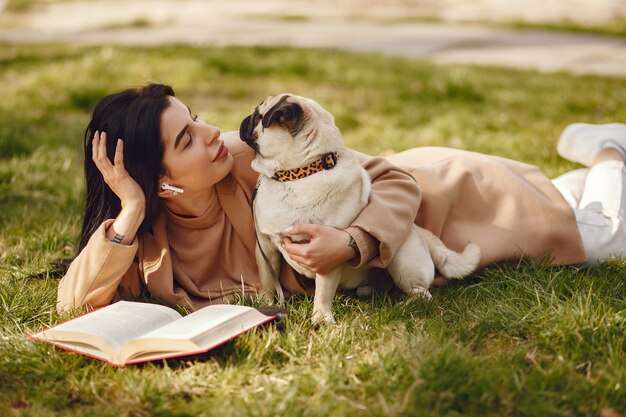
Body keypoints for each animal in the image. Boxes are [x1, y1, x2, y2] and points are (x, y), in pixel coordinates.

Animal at [239, 92, 478, 324]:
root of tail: (417, 230)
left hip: (403, 261)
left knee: (423, 294)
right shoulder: (266, 248)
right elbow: (268, 280)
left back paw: (405, 305)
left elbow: (323, 292)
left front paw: (321, 318)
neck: (297, 175)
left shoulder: (325, 254)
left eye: (257, 116)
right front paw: (265, 304)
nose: (245, 119)